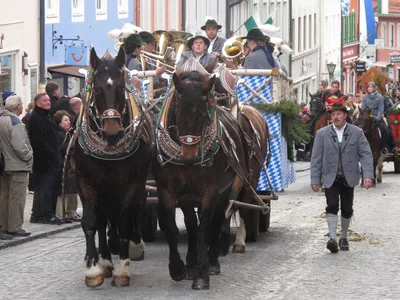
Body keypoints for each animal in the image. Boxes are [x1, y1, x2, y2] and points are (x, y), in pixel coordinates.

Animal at [71, 47, 154, 288]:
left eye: (120, 88)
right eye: (97, 90)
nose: (111, 130)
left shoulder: (131, 183)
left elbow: (126, 220)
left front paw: (123, 269)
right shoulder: (85, 181)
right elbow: (91, 221)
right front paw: (93, 269)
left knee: (134, 211)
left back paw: (132, 246)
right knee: (103, 218)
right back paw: (106, 259)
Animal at [152, 71, 250, 290]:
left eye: (204, 115)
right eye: (178, 113)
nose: (190, 156)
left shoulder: (211, 191)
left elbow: (204, 229)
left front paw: (202, 275)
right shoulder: (168, 190)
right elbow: (173, 227)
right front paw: (179, 268)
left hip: (227, 189)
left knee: (217, 220)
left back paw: (212, 262)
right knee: (191, 224)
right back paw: (191, 263)